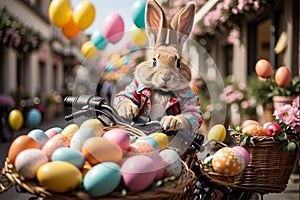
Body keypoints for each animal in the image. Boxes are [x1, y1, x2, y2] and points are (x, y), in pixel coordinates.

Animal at [113, 0, 204, 131]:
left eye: (178, 62)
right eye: (154, 60)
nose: (166, 77)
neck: (162, 91)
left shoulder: (190, 98)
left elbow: (193, 114)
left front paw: (172, 120)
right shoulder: (134, 86)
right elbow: (122, 96)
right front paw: (129, 109)